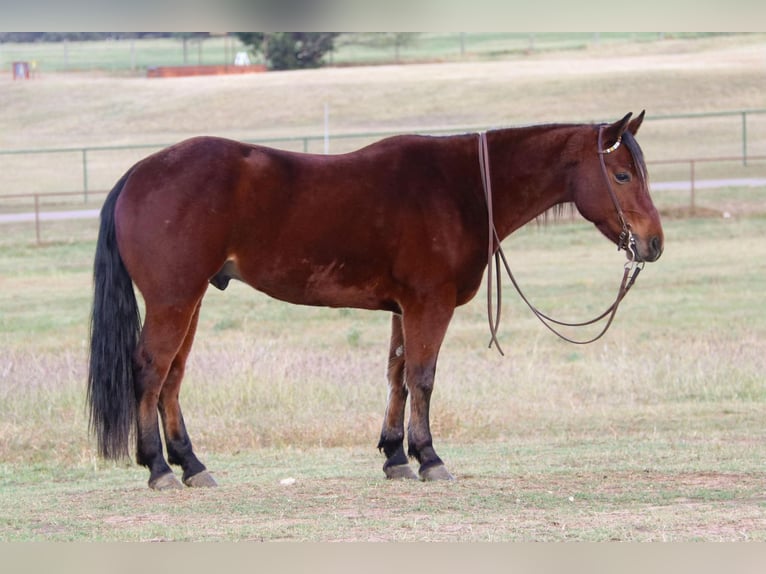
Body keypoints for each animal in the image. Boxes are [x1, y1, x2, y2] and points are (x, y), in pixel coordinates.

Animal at [88, 112, 664, 490]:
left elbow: (397, 375)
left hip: (190, 302)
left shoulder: (403, 310)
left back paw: (191, 465)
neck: (461, 189)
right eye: (621, 175)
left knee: (172, 377)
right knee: (151, 371)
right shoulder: (429, 306)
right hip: (173, 300)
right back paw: (159, 468)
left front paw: (394, 456)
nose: (653, 244)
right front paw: (428, 457)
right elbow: (423, 378)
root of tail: (138, 175)